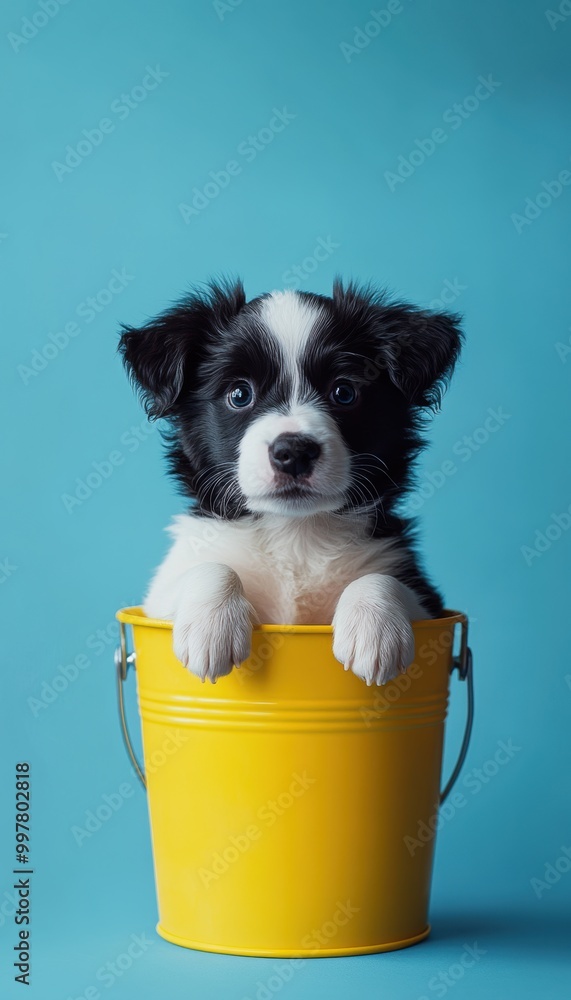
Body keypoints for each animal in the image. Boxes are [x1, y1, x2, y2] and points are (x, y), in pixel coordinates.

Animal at [118, 280, 462, 688]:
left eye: (344, 392)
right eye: (239, 394)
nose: (293, 452)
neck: (295, 532)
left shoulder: (428, 603)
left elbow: (380, 577)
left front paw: (374, 627)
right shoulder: (159, 597)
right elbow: (210, 567)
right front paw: (211, 625)